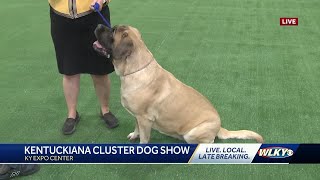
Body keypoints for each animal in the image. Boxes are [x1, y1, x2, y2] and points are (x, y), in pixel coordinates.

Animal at [92, 24, 262, 144]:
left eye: (112, 31)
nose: (99, 25)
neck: (135, 70)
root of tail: (220, 127)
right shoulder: (137, 116)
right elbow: (136, 128)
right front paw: (134, 134)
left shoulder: (145, 119)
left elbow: (144, 139)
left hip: (192, 133)